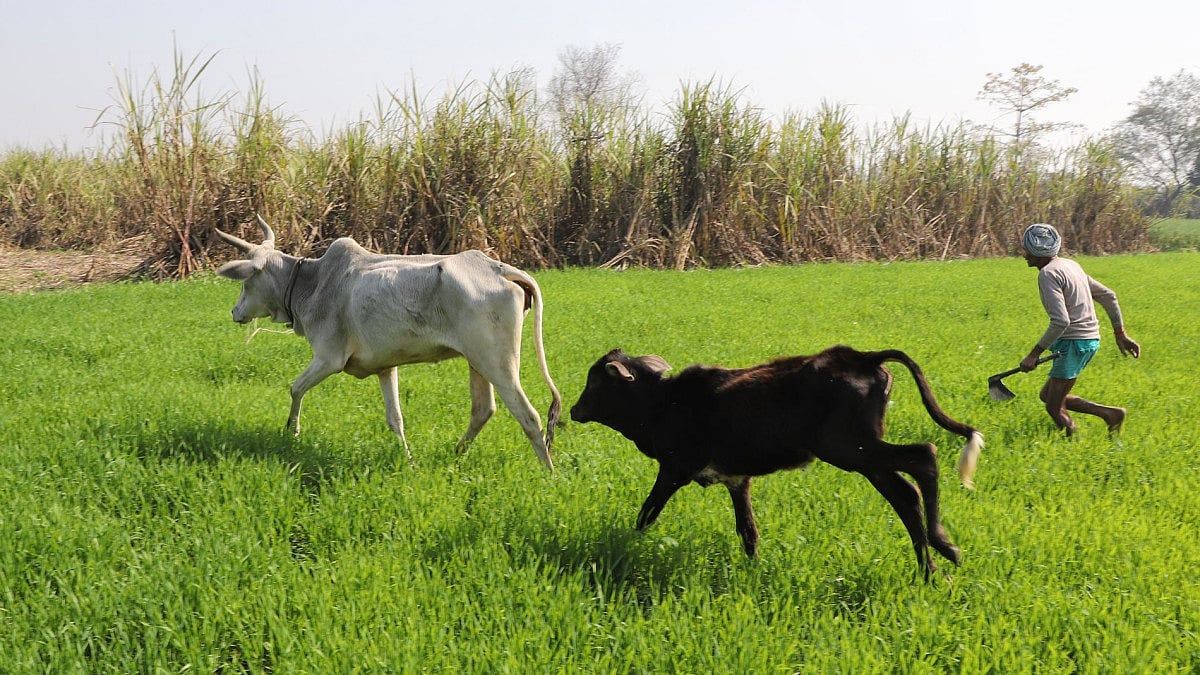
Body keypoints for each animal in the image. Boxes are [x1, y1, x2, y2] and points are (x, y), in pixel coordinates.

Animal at [214, 215, 561, 470]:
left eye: (246, 282)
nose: (234, 311)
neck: (311, 284)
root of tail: (501, 269)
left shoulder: (328, 358)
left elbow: (295, 388)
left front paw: (292, 431)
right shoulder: (385, 367)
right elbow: (395, 419)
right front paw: (408, 461)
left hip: (497, 362)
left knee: (529, 416)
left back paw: (549, 472)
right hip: (478, 361)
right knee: (483, 409)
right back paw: (454, 455)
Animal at [569, 346, 984, 579]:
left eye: (596, 382)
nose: (573, 411)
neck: (661, 404)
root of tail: (861, 358)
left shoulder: (675, 469)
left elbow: (646, 514)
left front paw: (622, 548)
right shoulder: (737, 480)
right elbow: (748, 532)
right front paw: (754, 572)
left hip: (848, 448)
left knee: (923, 457)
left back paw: (943, 545)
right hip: (862, 454)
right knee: (905, 494)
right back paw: (930, 569)